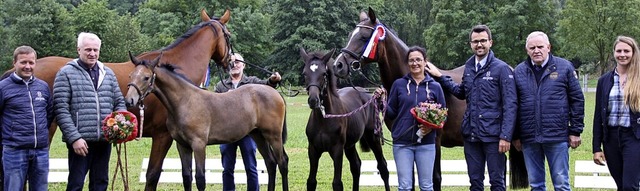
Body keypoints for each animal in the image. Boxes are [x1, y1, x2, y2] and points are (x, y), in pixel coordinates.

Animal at [124, 54, 288, 191]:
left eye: (146, 77)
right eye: (131, 75)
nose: (129, 100)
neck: (185, 101)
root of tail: (275, 93)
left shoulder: (199, 144)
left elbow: (200, 179)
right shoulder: (182, 145)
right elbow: (186, 177)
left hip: (273, 135)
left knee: (282, 162)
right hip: (258, 135)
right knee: (270, 163)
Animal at [300, 47, 390, 190]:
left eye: (324, 74)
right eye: (304, 74)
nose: (313, 100)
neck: (323, 120)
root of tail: (369, 95)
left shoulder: (337, 150)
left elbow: (337, 183)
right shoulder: (313, 150)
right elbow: (311, 182)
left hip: (373, 137)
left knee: (383, 167)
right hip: (350, 145)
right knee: (356, 166)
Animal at [332, 7, 528, 190]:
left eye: (364, 37)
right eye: (350, 35)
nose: (338, 65)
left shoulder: (434, 141)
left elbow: (435, 178)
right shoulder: (403, 140)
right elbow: (409, 179)